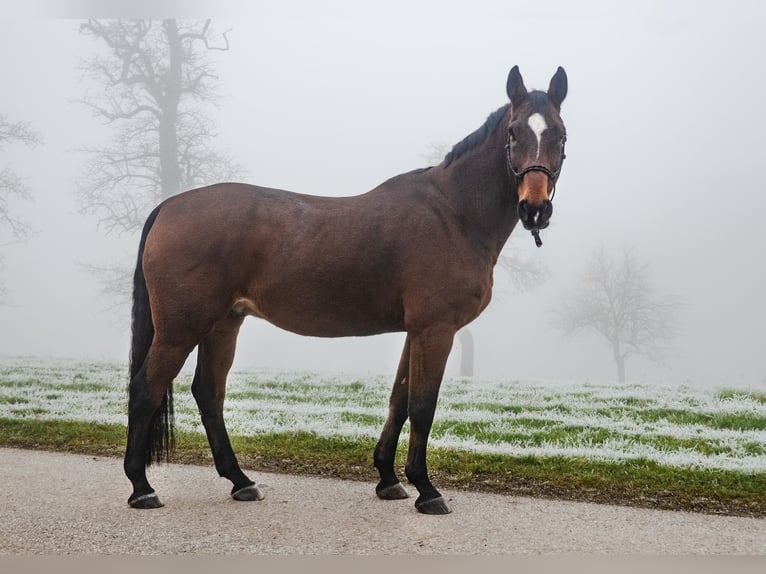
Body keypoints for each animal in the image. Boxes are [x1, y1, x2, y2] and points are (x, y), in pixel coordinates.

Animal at [126, 65, 568, 516]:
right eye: (513, 132)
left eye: (561, 135)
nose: (535, 209)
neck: (453, 214)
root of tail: (169, 206)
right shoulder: (436, 330)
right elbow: (422, 407)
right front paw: (426, 489)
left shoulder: (416, 331)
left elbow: (399, 400)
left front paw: (389, 478)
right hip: (180, 329)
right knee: (146, 390)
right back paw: (142, 487)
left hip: (223, 323)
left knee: (208, 394)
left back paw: (241, 481)